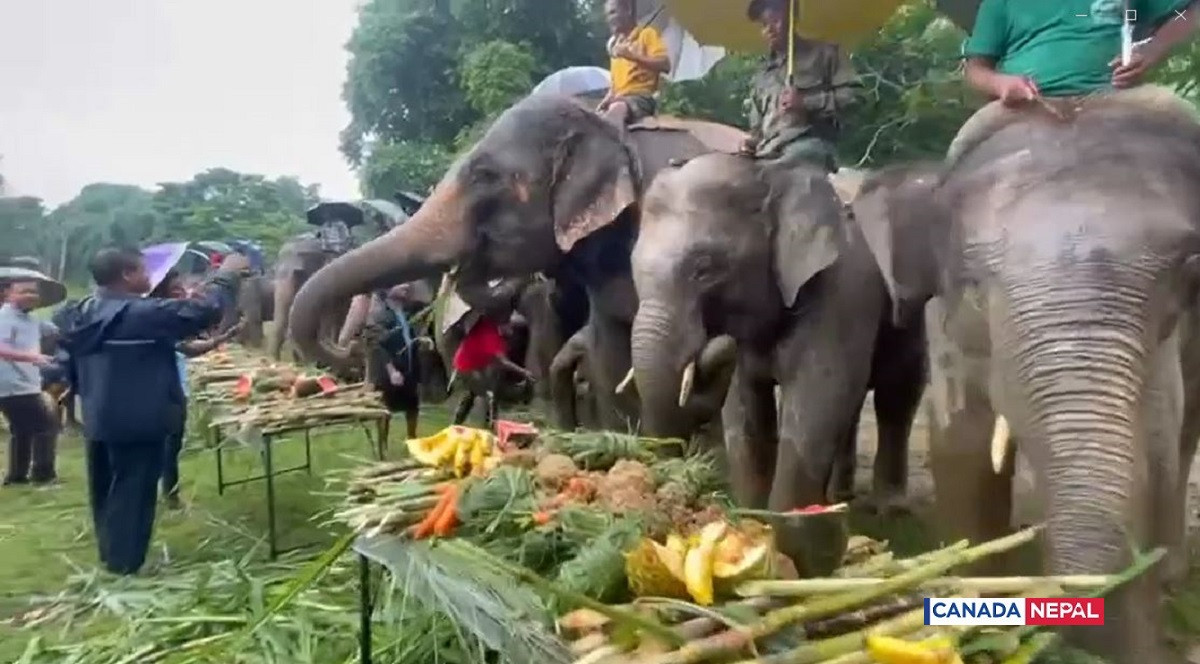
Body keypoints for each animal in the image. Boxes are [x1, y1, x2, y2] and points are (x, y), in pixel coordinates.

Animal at [628, 152, 926, 525]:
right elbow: (745, 407)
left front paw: (786, 525)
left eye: (704, 269)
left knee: (897, 388)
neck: (769, 174)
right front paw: (751, 517)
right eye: (632, 265)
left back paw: (889, 509)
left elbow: (818, 394)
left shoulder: (840, 288)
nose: (714, 341)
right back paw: (838, 496)